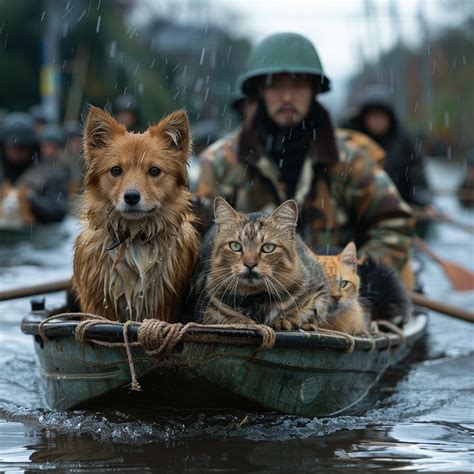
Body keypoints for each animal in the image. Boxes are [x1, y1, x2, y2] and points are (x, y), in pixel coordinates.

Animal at [193, 198, 330, 332]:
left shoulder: (320, 291)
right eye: (235, 246)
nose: (250, 264)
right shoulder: (208, 303)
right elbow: (227, 314)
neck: (257, 298)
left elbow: (306, 311)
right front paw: (243, 321)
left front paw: (286, 321)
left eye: (268, 248)